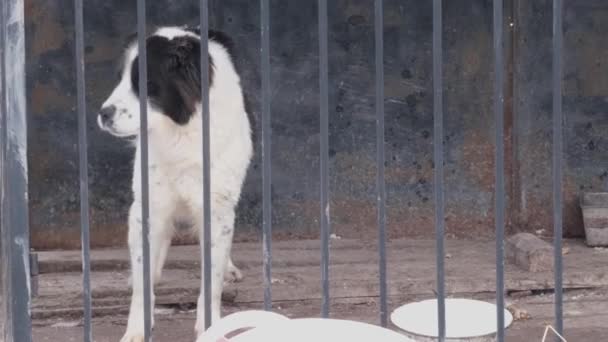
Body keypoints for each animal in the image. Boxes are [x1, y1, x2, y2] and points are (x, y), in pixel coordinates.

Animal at [97, 27, 252, 342]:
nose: (103, 113)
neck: (181, 132)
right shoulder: (149, 205)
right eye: (120, 79)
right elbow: (143, 279)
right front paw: (137, 330)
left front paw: (209, 328)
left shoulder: (217, 208)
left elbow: (212, 279)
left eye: (145, 83)